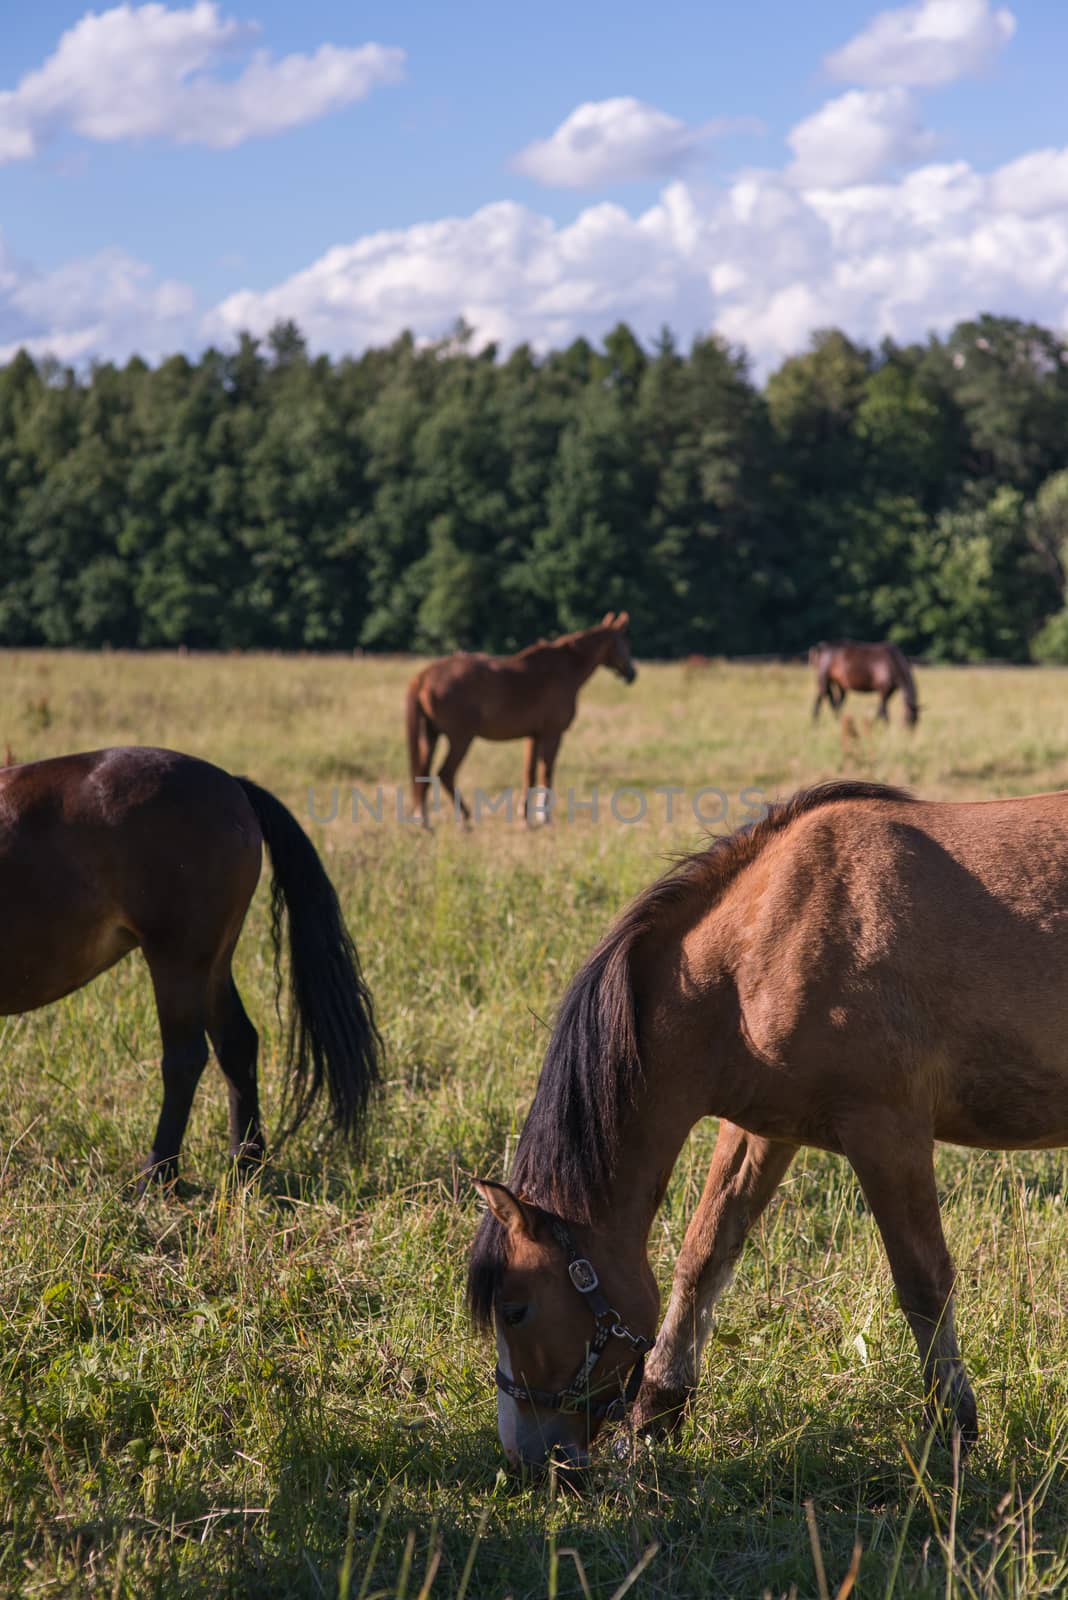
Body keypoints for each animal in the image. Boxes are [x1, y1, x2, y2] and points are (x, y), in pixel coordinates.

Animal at [0, 748, 382, 1190]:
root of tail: (233, 785)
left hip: (177, 960)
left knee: (184, 1059)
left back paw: (156, 1174)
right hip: (212, 965)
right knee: (237, 1044)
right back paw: (244, 1163)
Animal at [404, 614, 629, 832]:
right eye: (624, 642)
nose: (632, 673)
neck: (564, 670)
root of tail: (423, 676)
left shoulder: (533, 736)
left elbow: (529, 774)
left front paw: (526, 817)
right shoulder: (552, 733)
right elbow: (546, 772)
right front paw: (544, 818)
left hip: (430, 735)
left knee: (422, 774)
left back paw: (423, 821)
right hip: (460, 738)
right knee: (445, 774)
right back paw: (465, 819)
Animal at [466, 780, 1068, 1465]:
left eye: (515, 1310)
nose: (529, 1457)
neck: (764, 939)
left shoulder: (887, 1132)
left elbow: (923, 1283)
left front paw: (956, 1430)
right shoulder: (761, 1132)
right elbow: (703, 1256)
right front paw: (658, 1406)